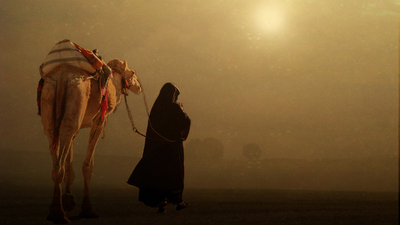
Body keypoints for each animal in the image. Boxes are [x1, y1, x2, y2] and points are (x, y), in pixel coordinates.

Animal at [39, 58, 141, 223]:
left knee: (56, 142)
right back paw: (59, 214)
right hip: (77, 95)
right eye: (132, 72)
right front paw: (87, 209)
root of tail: (62, 76)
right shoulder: (101, 119)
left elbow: (70, 159)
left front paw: (69, 198)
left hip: (50, 103)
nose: (138, 86)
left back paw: (55, 210)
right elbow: (88, 164)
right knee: (63, 147)